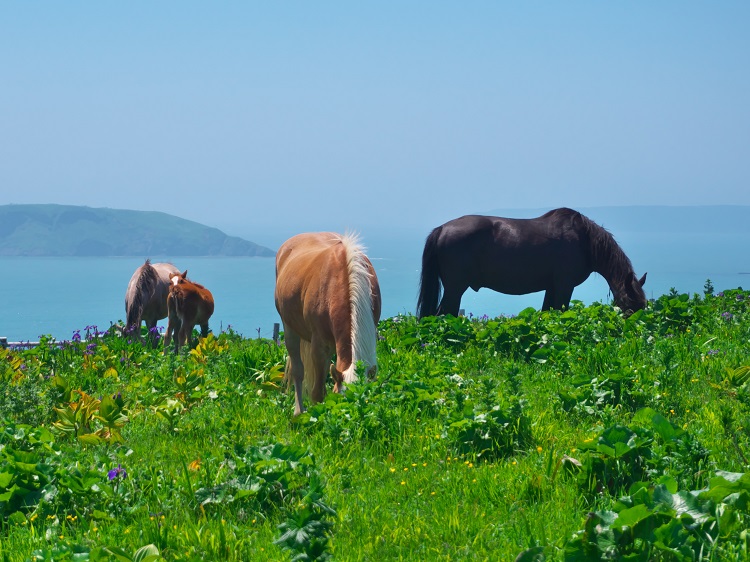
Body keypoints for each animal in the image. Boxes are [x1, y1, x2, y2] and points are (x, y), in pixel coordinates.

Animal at [420, 207, 648, 320]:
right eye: (628, 306)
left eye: (642, 306)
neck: (584, 240)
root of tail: (442, 229)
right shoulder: (565, 286)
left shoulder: (552, 287)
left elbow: (546, 313)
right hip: (455, 289)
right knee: (442, 315)